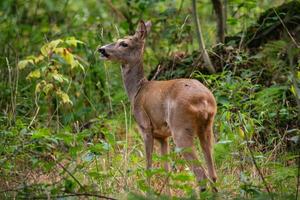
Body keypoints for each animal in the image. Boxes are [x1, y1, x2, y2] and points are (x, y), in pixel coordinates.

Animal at [98, 20, 218, 194]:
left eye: (124, 43)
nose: (101, 49)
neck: (137, 91)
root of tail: (204, 100)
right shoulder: (163, 137)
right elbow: (165, 167)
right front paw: (167, 194)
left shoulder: (145, 127)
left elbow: (148, 166)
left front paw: (148, 192)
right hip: (207, 127)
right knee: (213, 174)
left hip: (180, 128)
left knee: (201, 174)